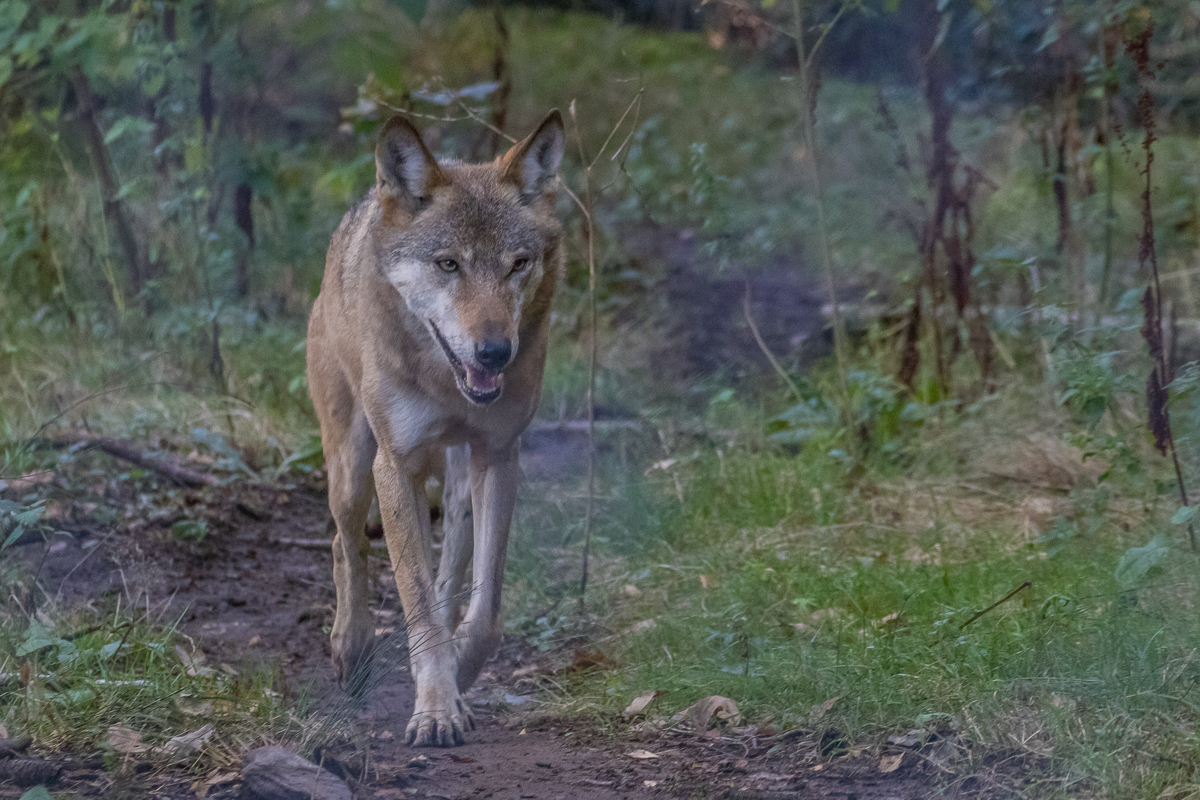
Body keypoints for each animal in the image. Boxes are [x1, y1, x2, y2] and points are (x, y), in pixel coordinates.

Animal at [307, 112, 568, 753]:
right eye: (448, 264)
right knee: (345, 543)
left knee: (450, 571)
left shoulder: (498, 454)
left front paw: (459, 681)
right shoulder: (395, 464)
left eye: (518, 263)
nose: (495, 352)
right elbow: (417, 600)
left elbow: (484, 606)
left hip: (457, 482)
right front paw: (434, 710)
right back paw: (351, 648)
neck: (446, 383)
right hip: (353, 467)